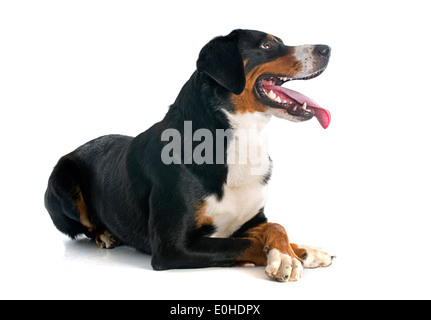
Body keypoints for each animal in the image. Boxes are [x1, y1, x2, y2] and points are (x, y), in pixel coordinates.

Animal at [44, 28, 334, 282]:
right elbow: (245, 243)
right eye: (266, 45)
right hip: (64, 186)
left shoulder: (252, 218)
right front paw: (284, 258)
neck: (239, 142)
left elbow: (276, 226)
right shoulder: (172, 246)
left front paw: (301, 251)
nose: (326, 48)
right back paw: (105, 234)